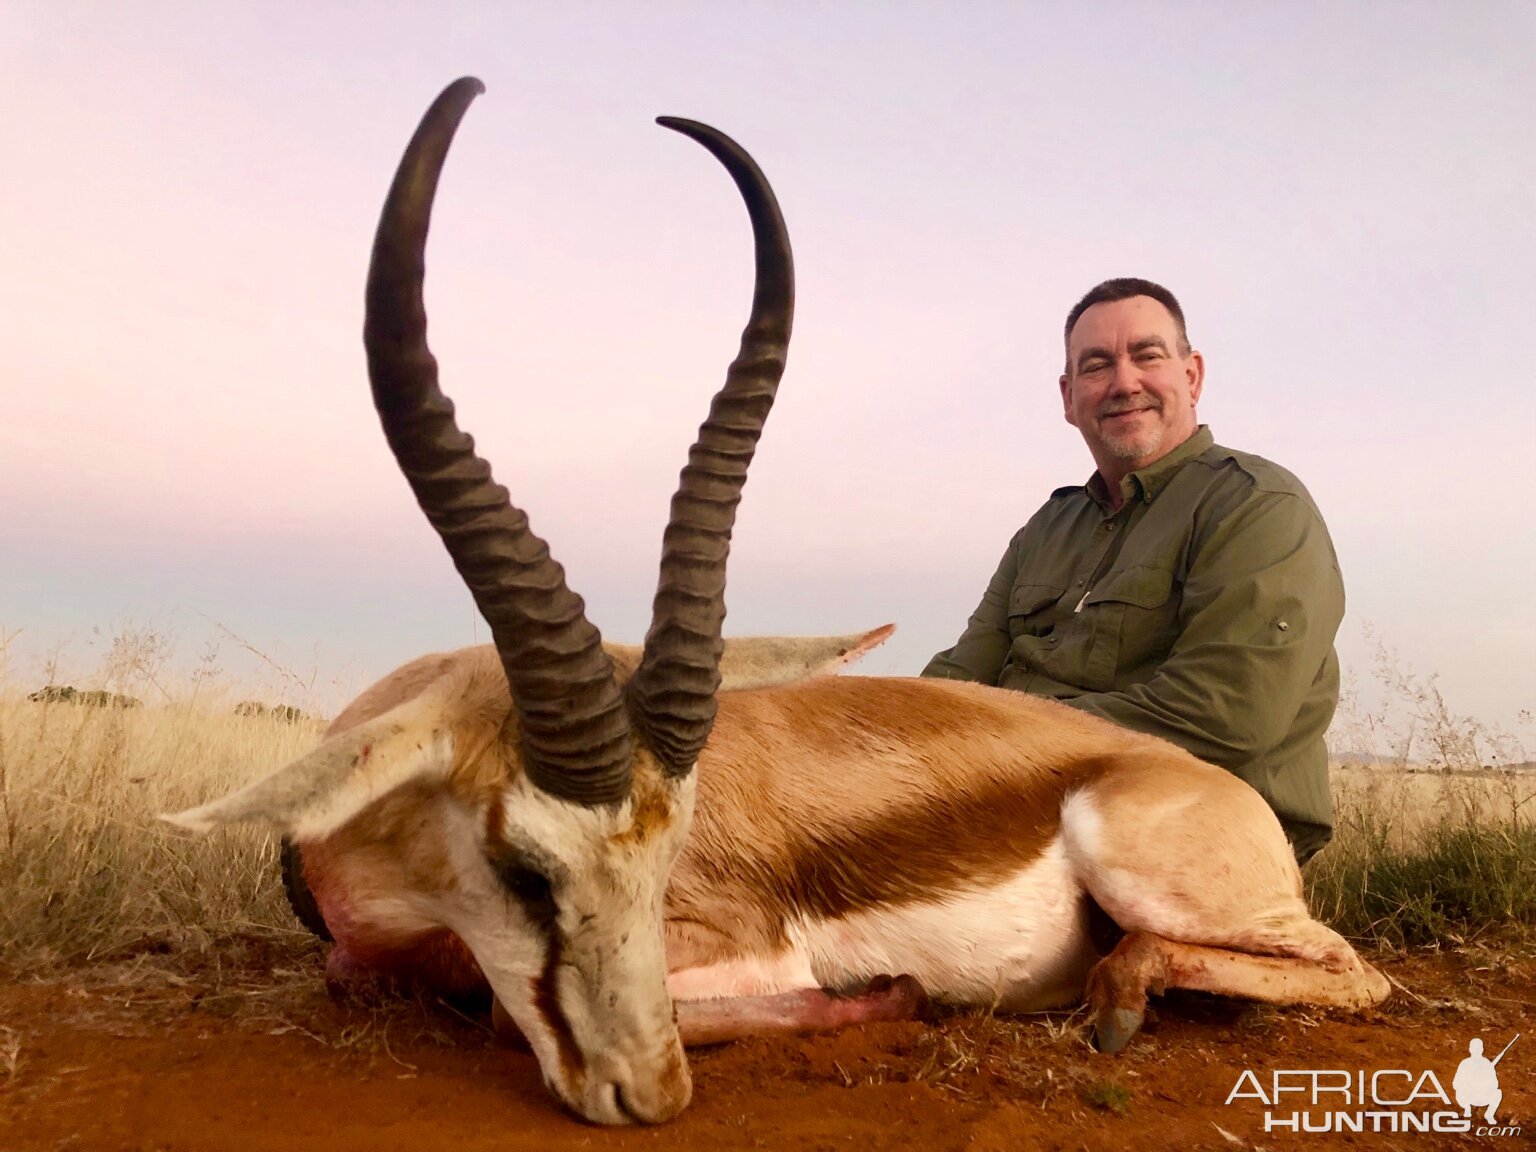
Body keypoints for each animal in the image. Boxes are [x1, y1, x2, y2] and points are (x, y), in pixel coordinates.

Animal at [162, 79, 1388, 1130]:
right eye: (524, 869)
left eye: (671, 855)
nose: (649, 1094)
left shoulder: (742, 946)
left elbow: (511, 1025)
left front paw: (887, 995)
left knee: (1353, 973)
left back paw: (1114, 996)